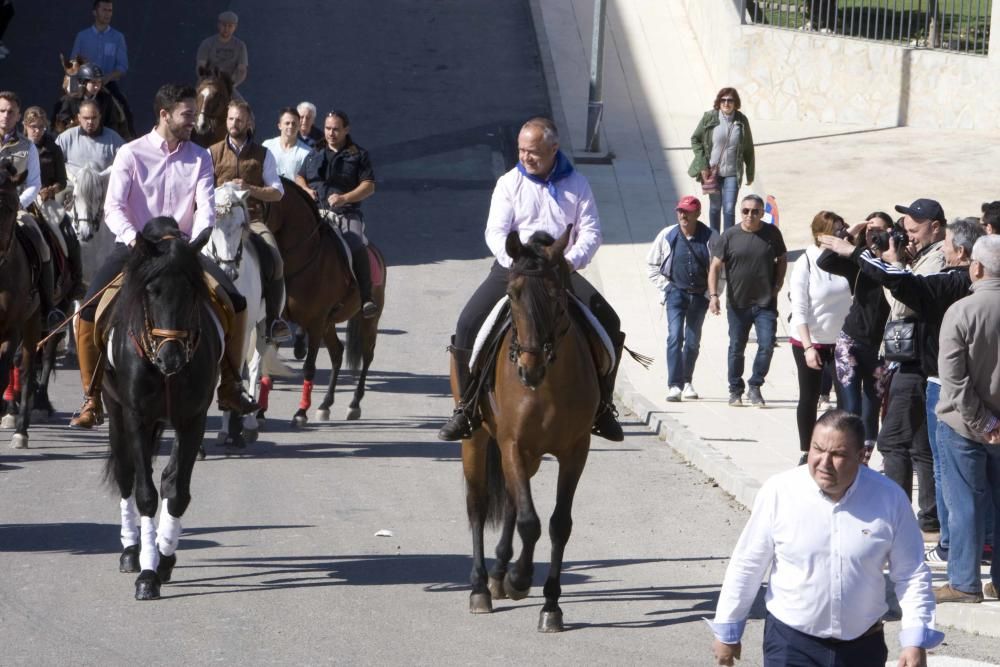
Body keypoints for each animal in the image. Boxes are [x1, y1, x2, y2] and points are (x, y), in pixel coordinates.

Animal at [102, 218, 222, 600]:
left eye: (192, 292)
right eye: (151, 291)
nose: (172, 358)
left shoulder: (193, 419)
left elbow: (177, 492)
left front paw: (164, 559)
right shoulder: (136, 417)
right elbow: (145, 495)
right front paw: (147, 573)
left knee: (167, 479)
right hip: (115, 412)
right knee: (126, 475)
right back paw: (130, 551)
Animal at [207, 184, 290, 448]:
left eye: (241, 225)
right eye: (213, 225)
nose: (228, 270)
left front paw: (232, 427)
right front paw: (225, 427)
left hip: (262, 327)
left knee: (254, 367)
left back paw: (251, 423)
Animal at [266, 177, 386, 426]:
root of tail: (376, 252)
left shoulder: (315, 322)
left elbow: (309, 367)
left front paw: (301, 412)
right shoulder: (281, 322)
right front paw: (258, 412)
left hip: (369, 320)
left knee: (367, 355)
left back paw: (354, 404)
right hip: (329, 323)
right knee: (337, 353)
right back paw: (325, 405)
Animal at [458, 227, 596, 636]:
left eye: (554, 295)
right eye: (513, 293)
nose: (528, 369)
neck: (547, 386)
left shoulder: (575, 451)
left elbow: (558, 524)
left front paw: (551, 606)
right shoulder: (513, 444)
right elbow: (529, 521)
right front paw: (520, 579)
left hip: (531, 456)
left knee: (508, 502)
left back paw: (498, 575)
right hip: (478, 440)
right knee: (478, 504)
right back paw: (480, 588)